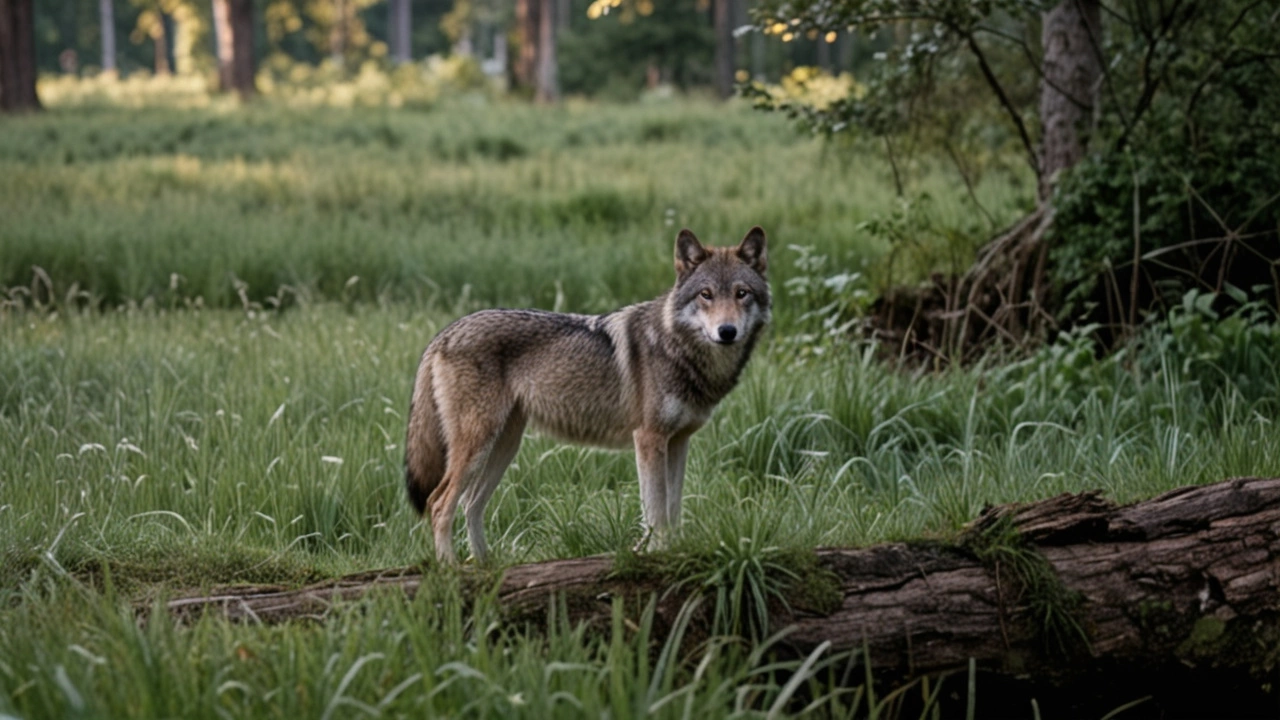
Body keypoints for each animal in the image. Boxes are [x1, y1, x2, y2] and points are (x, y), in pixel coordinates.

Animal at [404, 226, 773, 563]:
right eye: (706, 295)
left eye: (741, 293)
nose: (727, 331)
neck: (679, 350)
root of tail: (442, 335)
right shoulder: (649, 438)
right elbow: (655, 511)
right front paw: (656, 554)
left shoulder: (678, 441)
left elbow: (672, 509)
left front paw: (670, 551)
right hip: (478, 446)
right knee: (439, 504)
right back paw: (451, 570)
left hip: (503, 447)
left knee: (471, 506)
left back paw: (486, 567)